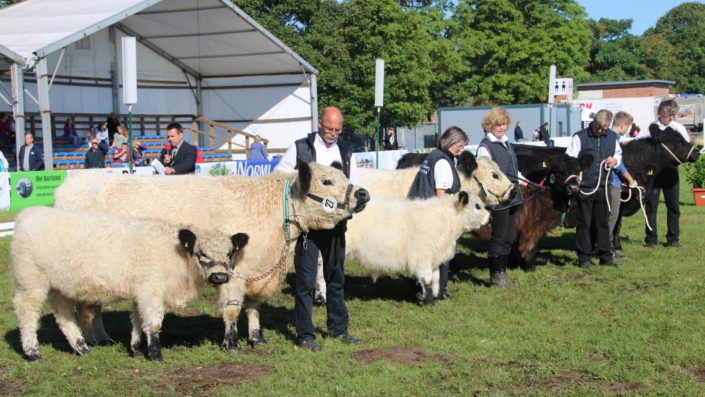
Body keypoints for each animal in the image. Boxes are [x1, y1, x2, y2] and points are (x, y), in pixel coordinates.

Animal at [11, 206, 249, 360]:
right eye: (202, 253)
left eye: (229, 253)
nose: (220, 277)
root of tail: (28, 213)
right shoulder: (150, 290)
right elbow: (153, 323)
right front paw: (155, 354)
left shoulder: (139, 293)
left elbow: (137, 320)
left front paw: (136, 350)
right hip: (31, 281)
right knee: (26, 311)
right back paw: (32, 352)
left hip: (59, 287)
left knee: (64, 315)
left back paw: (82, 348)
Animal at [55, 162, 368, 350]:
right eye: (326, 181)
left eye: (344, 176)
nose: (363, 193)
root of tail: (74, 181)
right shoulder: (231, 270)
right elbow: (232, 308)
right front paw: (232, 343)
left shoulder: (258, 273)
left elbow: (253, 307)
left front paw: (257, 338)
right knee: (83, 307)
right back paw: (92, 340)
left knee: (89, 305)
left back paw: (99, 338)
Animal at [346, 191, 490, 304]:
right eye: (477, 206)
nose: (490, 217)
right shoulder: (423, 257)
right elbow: (427, 280)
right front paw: (429, 301)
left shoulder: (434, 259)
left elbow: (436, 278)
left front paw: (434, 295)